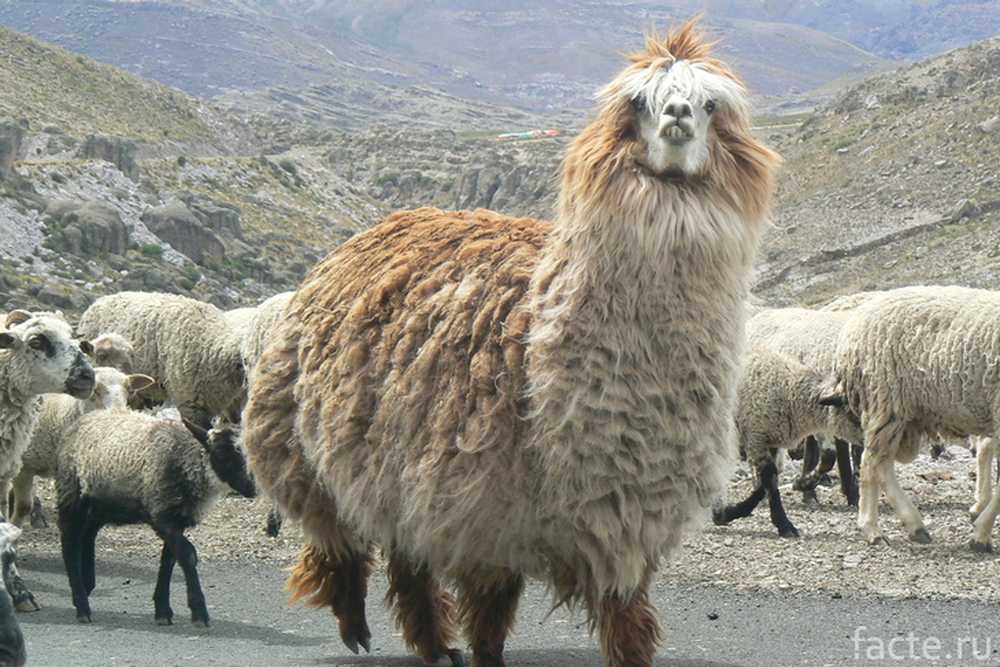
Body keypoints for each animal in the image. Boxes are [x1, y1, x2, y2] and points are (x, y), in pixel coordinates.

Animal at [242, 20, 780, 667]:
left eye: (709, 105)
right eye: (639, 102)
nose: (676, 115)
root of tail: (382, 225)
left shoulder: (625, 517)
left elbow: (627, 619)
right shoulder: (481, 510)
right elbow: (491, 615)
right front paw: (480, 652)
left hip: (394, 462)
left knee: (404, 558)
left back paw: (430, 644)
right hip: (306, 448)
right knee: (341, 540)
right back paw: (357, 626)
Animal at [712, 344, 860, 536]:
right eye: (853, 413)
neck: (789, 390)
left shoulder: (771, 441)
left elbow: (769, 479)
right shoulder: (756, 435)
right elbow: (770, 476)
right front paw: (784, 524)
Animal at [832, 286, 1000, 548]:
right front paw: (980, 535)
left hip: (905, 412)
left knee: (882, 463)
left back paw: (913, 525)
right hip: (886, 399)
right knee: (871, 462)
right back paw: (872, 528)